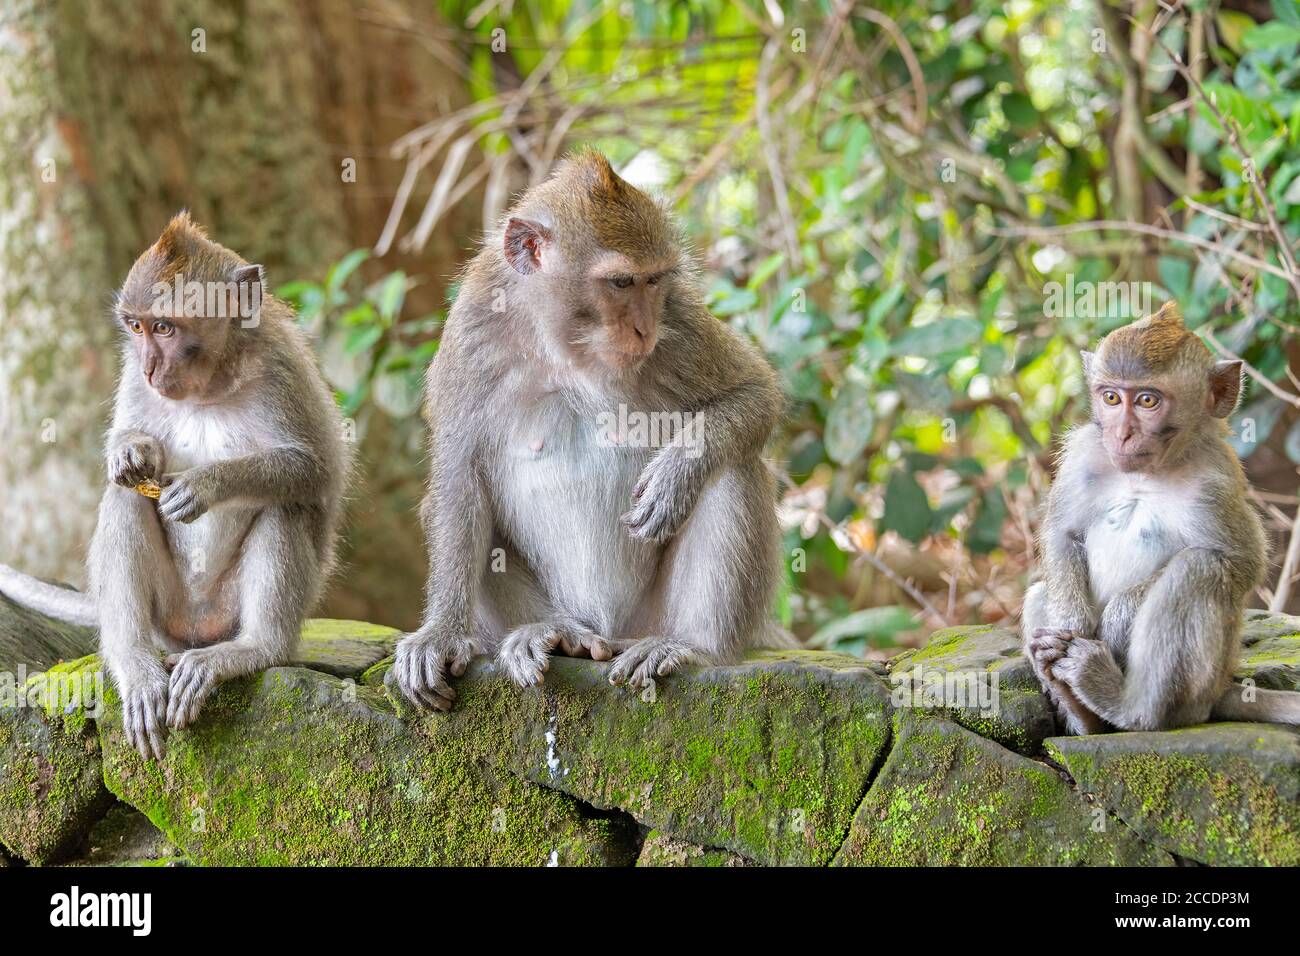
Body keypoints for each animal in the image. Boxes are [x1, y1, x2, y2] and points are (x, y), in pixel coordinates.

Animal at [0, 213, 351, 759]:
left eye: (165, 327)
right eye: (136, 327)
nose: (148, 367)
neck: (209, 386)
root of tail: (197, 632)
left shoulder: (283, 367)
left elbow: (317, 470)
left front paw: (207, 483)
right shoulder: (130, 374)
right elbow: (124, 461)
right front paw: (131, 452)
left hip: (225, 612)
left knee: (285, 505)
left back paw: (252, 649)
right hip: (167, 616)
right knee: (125, 501)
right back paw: (134, 664)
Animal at [382, 149, 790, 712]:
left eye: (655, 280)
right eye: (620, 283)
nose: (644, 329)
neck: (562, 345)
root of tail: (609, 630)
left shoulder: (679, 318)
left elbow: (754, 393)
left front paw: (676, 472)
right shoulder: (471, 331)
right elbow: (460, 477)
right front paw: (440, 634)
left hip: (648, 618)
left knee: (733, 468)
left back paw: (690, 646)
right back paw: (555, 634)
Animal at [1019, 303, 1300, 738]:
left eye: (1148, 401)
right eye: (1112, 397)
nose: (1121, 434)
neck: (1146, 474)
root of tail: (1222, 688)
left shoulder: (1215, 484)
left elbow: (1242, 562)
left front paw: (1118, 618)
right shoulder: (1084, 453)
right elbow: (1063, 534)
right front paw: (1071, 625)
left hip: (1204, 683)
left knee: (1198, 569)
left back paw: (1128, 707)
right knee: (1038, 591)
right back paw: (1079, 709)